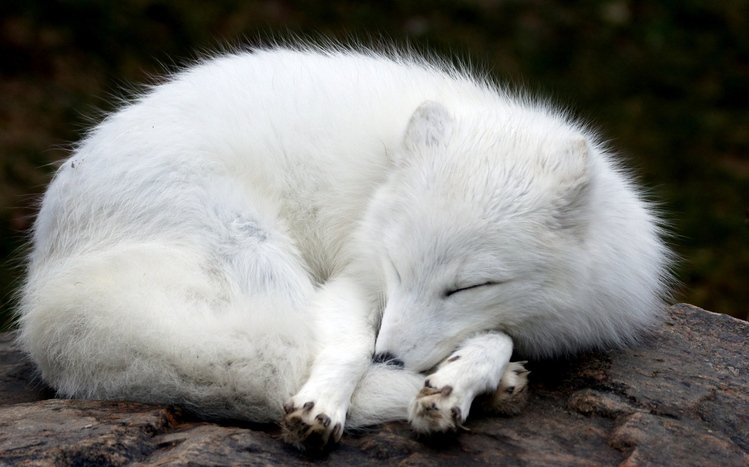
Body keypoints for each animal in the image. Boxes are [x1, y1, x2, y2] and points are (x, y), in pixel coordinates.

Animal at [17, 44, 672, 450]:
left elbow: (497, 333)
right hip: (255, 252)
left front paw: (463, 376)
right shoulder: (354, 278)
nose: (393, 357)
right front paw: (328, 403)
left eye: (470, 286)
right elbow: (347, 346)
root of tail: (46, 276)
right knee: (275, 366)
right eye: (397, 268)